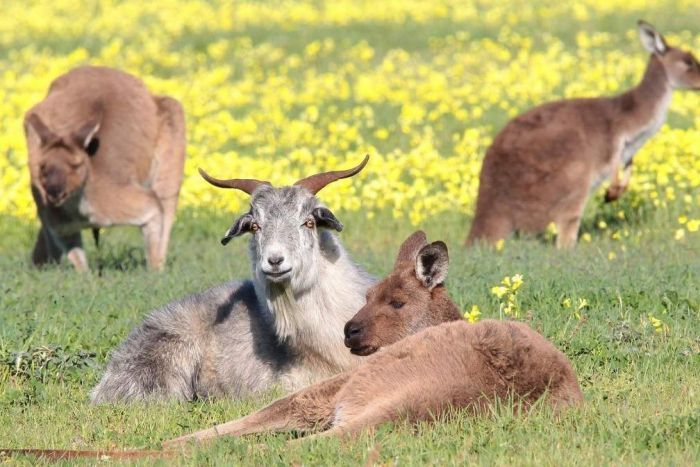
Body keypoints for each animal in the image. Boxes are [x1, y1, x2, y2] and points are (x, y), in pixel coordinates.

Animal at [25, 66, 186, 270]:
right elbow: (75, 255)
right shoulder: (59, 223)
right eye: (43, 167)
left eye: (76, 165)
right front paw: (84, 277)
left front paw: (155, 272)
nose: (54, 192)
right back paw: (41, 266)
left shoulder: (138, 203)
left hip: (172, 127)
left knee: (167, 200)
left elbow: (155, 218)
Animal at [464, 22, 700, 249]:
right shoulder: (612, 137)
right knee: (565, 228)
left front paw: (614, 192)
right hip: (570, 174)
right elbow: (613, 161)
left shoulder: (628, 148)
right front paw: (612, 192)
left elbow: (627, 167)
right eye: (688, 62)